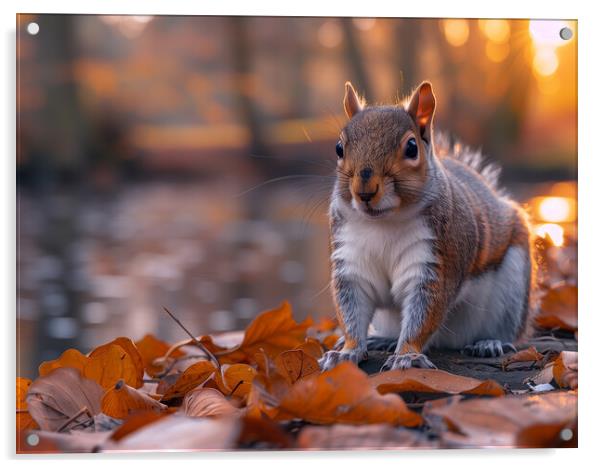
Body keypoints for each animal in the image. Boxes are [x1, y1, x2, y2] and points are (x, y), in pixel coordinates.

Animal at [316, 81, 536, 372]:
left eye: (411, 148)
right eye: (339, 148)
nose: (365, 190)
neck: (383, 223)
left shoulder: (435, 264)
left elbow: (424, 313)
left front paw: (407, 355)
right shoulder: (352, 261)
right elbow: (351, 309)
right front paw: (347, 351)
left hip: (512, 287)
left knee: (506, 329)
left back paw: (489, 343)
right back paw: (384, 339)